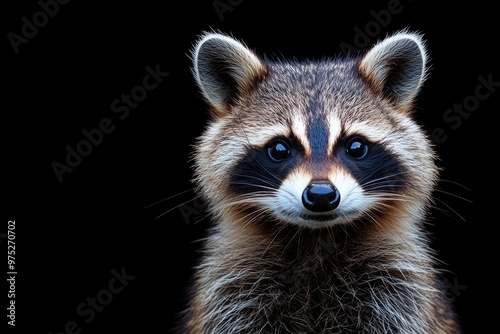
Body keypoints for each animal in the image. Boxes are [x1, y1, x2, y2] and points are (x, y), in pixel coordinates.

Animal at [179, 30, 460, 332]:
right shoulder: (231, 291)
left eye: (356, 147)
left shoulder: (400, 288)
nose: (322, 194)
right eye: (279, 149)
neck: (317, 240)